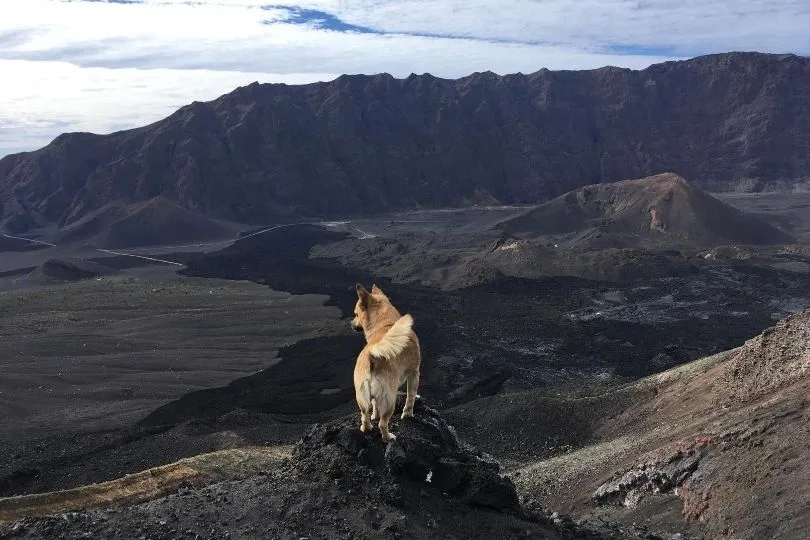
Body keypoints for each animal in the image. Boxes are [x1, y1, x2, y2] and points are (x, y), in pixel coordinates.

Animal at [350, 284, 420, 440]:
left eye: (356, 314)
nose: (351, 325)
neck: (387, 324)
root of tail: (372, 357)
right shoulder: (414, 373)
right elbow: (410, 397)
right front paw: (408, 414)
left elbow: (375, 406)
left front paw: (375, 415)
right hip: (390, 399)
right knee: (383, 424)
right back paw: (388, 438)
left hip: (362, 397)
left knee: (365, 415)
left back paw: (366, 428)